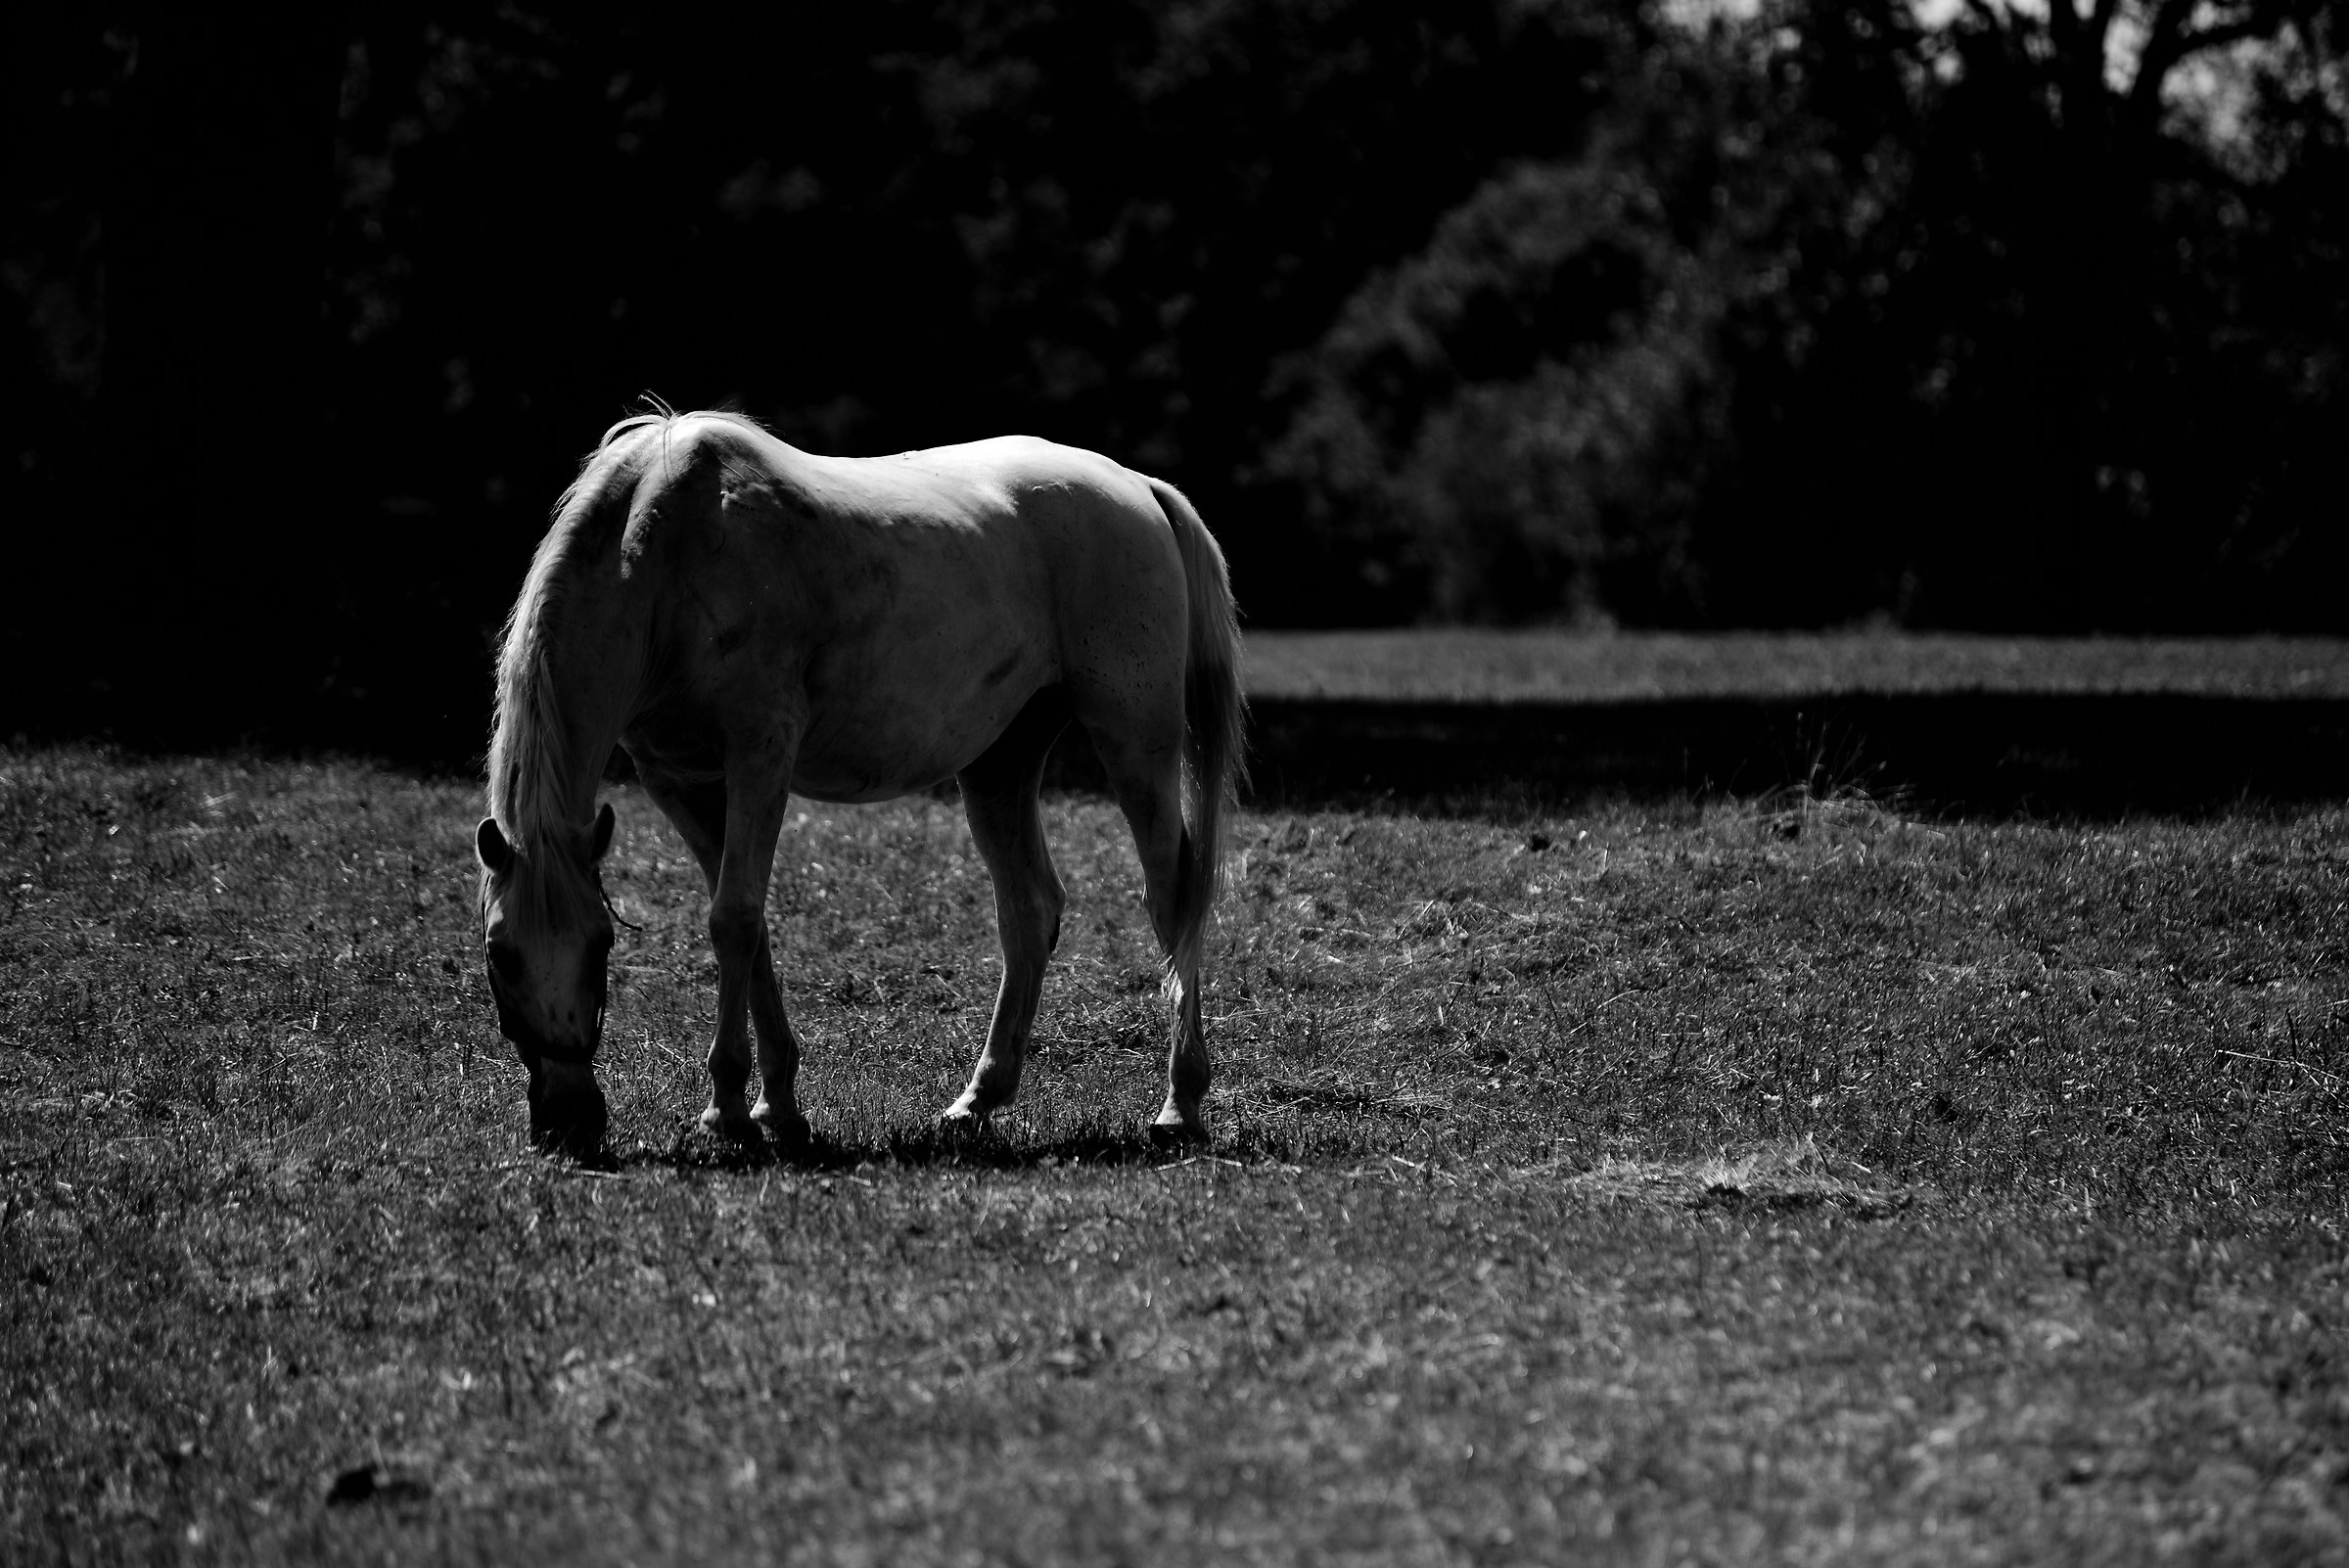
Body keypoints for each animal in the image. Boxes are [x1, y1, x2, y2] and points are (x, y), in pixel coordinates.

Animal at [473, 409, 1246, 1161]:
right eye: (499, 955)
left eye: (601, 945)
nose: (568, 1123)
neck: (665, 555)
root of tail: (1136, 487)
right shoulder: (679, 783)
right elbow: (748, 927)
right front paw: (777, 1108)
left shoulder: (760, 756)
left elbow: (733, 919)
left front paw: (726, 1111)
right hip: (999, 766)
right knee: (1030, 913)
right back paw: (977, 1100)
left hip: (1134, 743)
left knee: (1171, 900)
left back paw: (1179, 1105)